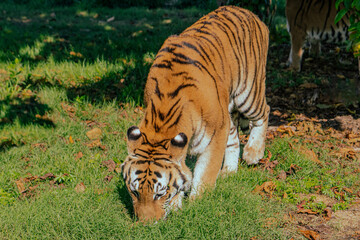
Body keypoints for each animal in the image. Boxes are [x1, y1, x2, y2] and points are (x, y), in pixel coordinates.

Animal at [121, 5, 270, 222]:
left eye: (159, 193)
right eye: (134, 191)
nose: (146, 224)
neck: (161, 123)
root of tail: (246, 11)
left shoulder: (215, 134)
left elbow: (205, 173)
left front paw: (198, 203)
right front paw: (176, 205)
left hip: (248, 92)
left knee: (264, 112)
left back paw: (253, 153)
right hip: (228, 111)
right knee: (234, 139)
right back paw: (229, 171)